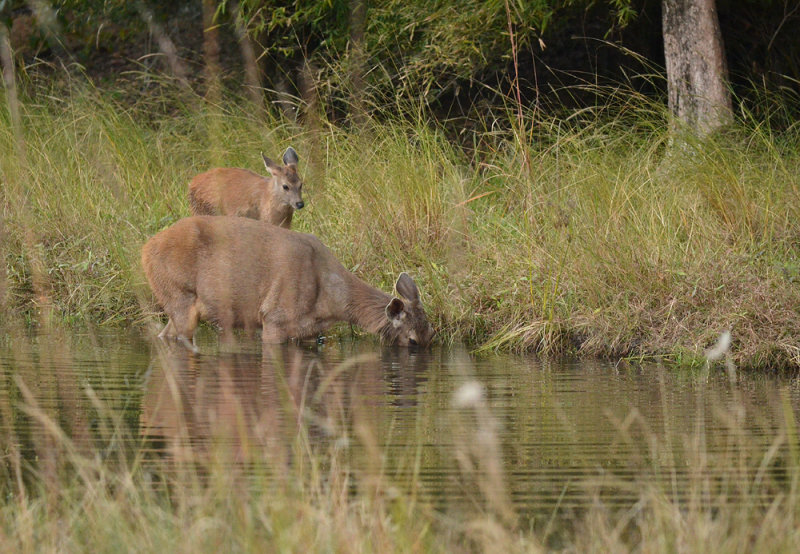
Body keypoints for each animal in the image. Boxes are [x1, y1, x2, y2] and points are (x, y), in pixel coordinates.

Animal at [141, 215, 434, 350]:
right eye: (412, 340)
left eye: (431, 334)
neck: (330, 301)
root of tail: (146, 249)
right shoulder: (274, 317)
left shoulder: (307, 332)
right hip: (179, 294)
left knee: (164, 334)